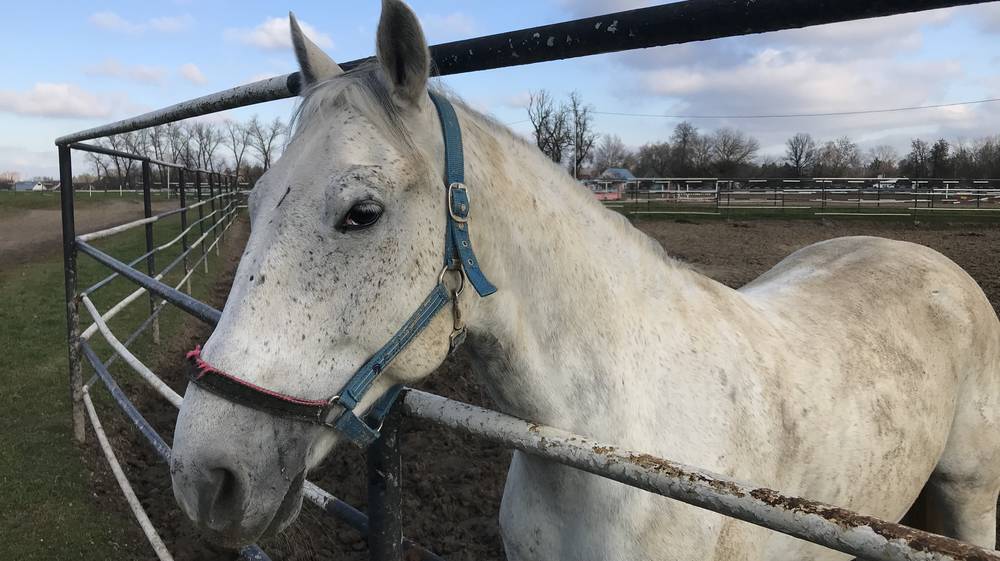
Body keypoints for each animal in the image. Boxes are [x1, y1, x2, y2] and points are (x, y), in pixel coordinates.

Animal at [168, 3, 996, 556]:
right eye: (252, 203)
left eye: (361, 212)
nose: (205, 475)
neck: (610, 453)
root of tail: (929, 259)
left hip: (972, 497)